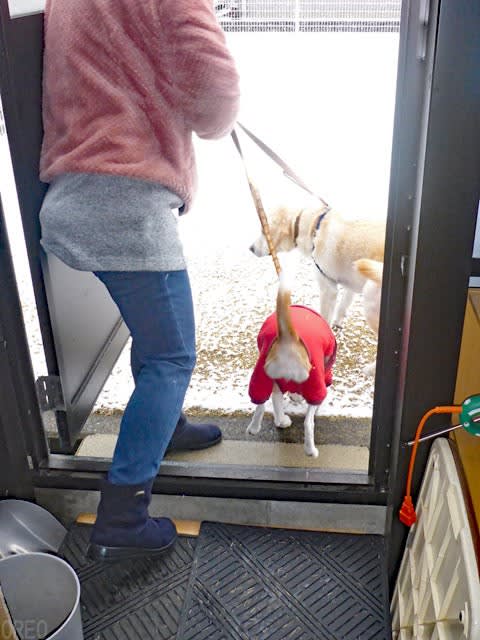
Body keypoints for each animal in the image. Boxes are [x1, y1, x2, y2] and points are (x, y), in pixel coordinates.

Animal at [246, 271, 336, 457]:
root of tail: (288, 337)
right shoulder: (324, 375)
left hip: (263, 373)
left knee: (262, 401)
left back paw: (258, 427)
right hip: (314, 381)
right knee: (308, 423)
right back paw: (311, 450)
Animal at [249, 204, 385, 329]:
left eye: (263, 231)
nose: (250, 248)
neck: (313, 227)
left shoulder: (328, 289)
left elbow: (324, 317)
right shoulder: (351, 283)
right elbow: (343, 305)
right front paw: (337, 323)